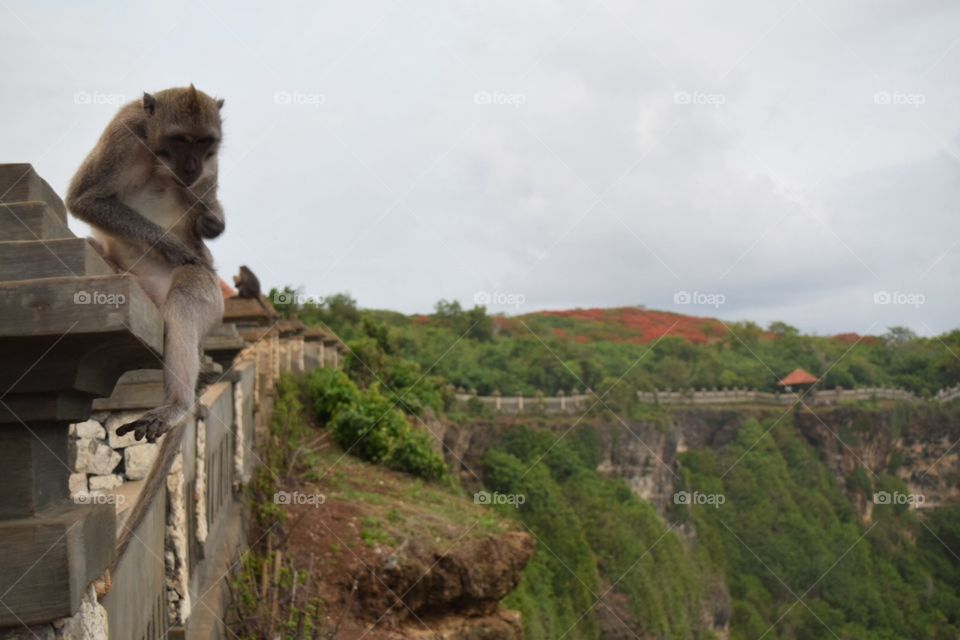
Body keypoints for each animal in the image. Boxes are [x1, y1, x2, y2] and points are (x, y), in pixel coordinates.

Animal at [66, 86, 228, 444]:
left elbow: (204, 215)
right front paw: (170, 245)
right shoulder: (123, 134)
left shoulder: (211, 166)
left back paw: (176, 405)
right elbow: (85, 199)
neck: (158, 158)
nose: (192, 166)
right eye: (181, 140)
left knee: (185, 298)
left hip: (212, 300)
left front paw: (209, 224)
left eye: (203, 142)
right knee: (93, 248)